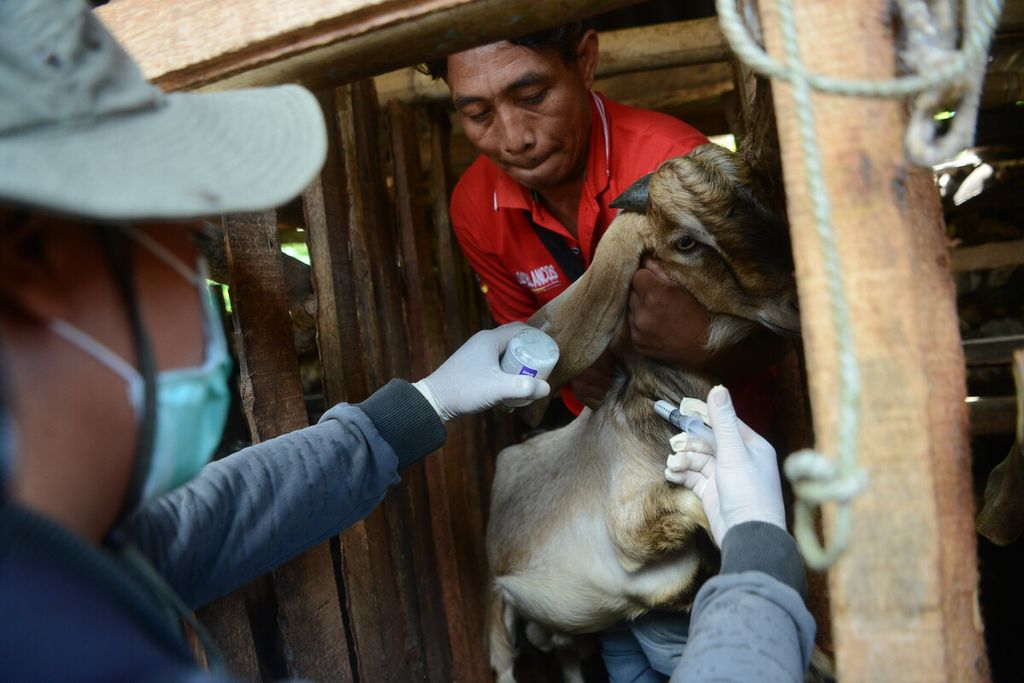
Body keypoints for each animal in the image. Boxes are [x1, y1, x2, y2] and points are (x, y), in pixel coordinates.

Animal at [485, 141, 798, 679]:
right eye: (687, 242)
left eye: (765, 201)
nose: (797, 296)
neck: (649, 404)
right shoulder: (626, 530)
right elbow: (690, 506)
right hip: (499, 614)